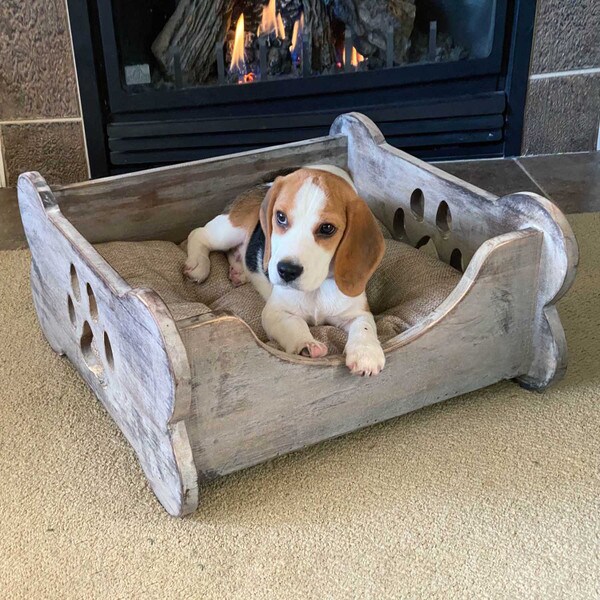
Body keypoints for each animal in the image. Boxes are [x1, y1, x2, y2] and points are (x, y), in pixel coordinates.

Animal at [185, 165, 386, 376]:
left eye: (327, 228)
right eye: (281, 217)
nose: (287, 271)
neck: (316, 288)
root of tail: (263, 184)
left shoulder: (358, 311)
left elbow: (364, 326)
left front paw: (366, 352)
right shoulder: (275, 312)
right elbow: (294, 324)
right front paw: (306, 344)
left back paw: (239, 271)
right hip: (229, 231)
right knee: (198, 234)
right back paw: (198, 264)